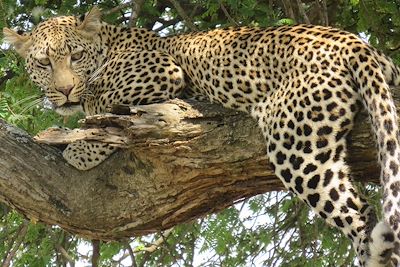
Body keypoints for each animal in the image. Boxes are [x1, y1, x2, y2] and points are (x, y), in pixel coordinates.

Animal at [2, 6, 400, 267]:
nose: (65, 90)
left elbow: (102, 99)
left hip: (297, 147)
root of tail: (353, 42)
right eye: (43, 63)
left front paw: (80, 144)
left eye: (76, 55)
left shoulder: (161, 72)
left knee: (359, 217)